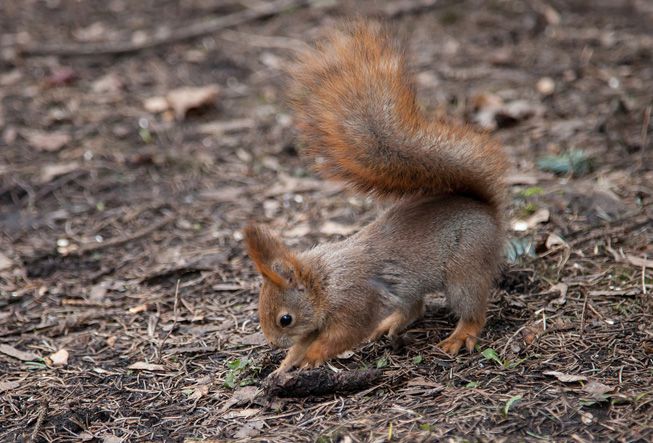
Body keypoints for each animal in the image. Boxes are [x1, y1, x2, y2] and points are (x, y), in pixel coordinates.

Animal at [244, 21, 510, 374]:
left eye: (285, 319)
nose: (273, 343)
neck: (326, 284)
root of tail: (486, 209)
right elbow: (304, 343)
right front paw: (284, 366)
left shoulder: (357, 304)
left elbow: (340, 336)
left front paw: (312, 357)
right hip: (409, 287)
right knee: (413, 309)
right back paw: (391, 324)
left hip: (466, 266)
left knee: (472, 310)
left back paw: (460, 336)